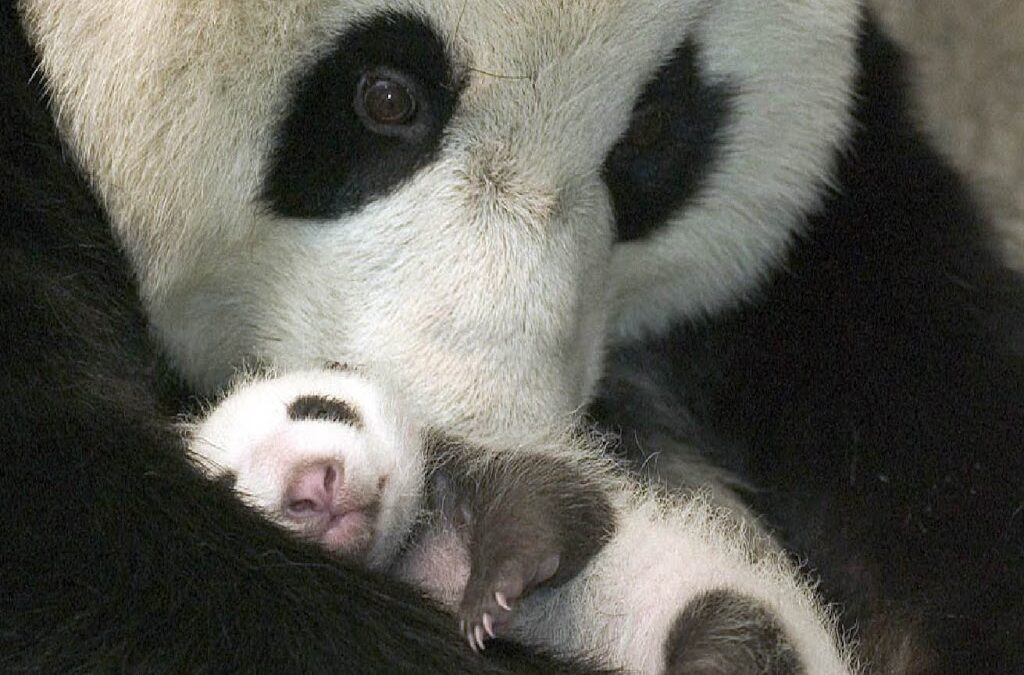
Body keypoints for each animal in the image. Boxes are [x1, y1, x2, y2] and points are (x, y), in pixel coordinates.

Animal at [186, 368, 857, 674]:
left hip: (742, 606)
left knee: (725, 642)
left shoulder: (464, 468)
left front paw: (491, 593)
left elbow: (556, 505)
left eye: (318, 407)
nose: (311, 485)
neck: (414, 551)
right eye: (228, 486)